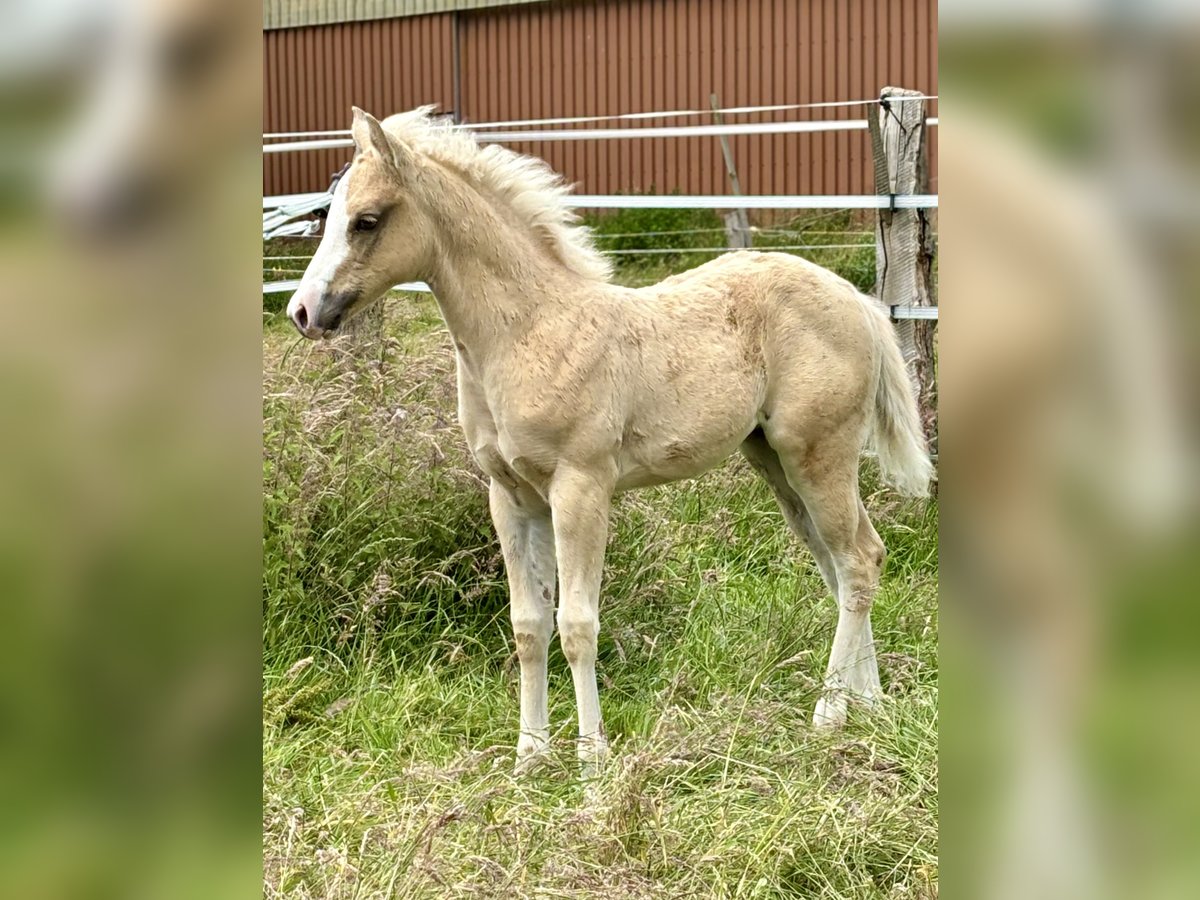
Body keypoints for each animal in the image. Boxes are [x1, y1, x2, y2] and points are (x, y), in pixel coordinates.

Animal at [285, 109, 931, 777]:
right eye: (328, 215)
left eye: (366, 220)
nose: (302, 312)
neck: (529, 332)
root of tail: (855, 298)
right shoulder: (510, 497)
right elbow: (528, 626)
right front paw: (529, 760)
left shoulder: (580, 488)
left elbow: (576, 624)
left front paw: (592, 765)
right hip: (774, 460)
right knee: (850, 563)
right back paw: (868, 705)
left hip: (818, 453)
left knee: (857, 560)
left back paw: (829, 713)